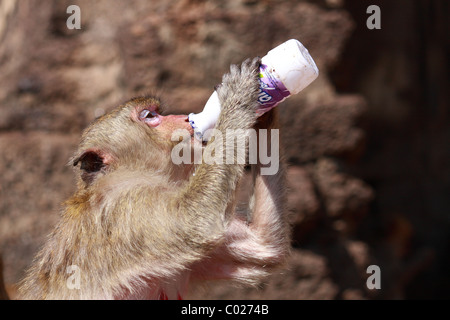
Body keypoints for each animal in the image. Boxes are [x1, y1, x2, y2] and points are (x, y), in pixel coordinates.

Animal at [16, 58, 288, 300]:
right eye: (149, 116)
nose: (183, 118)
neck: (134, 173)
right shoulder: (128, 208)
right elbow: (196, 221)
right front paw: (237, 95)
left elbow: (264, 246)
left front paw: (264, 109)